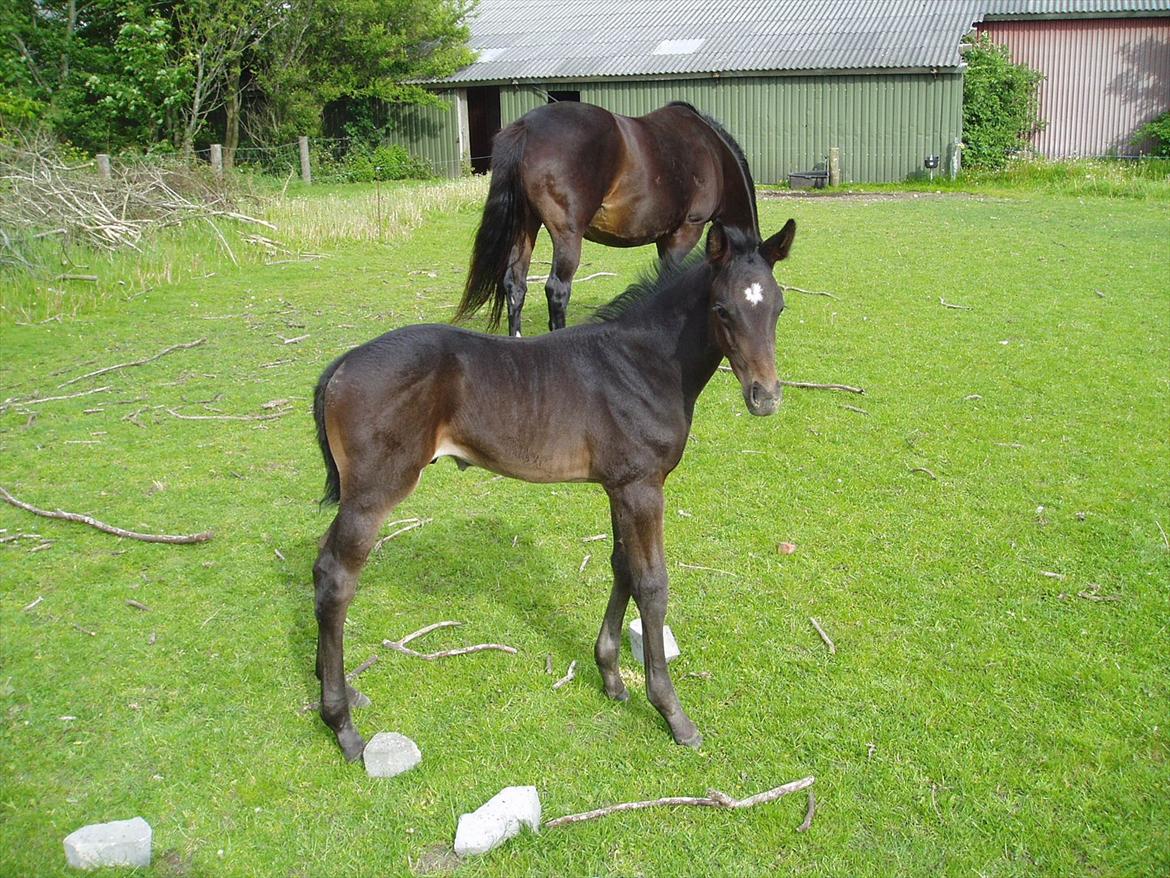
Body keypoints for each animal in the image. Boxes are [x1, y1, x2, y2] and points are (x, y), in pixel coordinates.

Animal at [311, 216, 795, 758]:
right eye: (722, 309)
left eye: (778, 306)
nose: (765, 396)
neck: (642, 364)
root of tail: (342, 365)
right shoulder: (642, 486)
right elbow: (652, 584)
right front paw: (674, 714)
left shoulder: (619, 486)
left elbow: (622, 565)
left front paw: (610, 676)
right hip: (376, 491)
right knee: (336, 578)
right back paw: (343, 725)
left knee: (321, 566)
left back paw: (338, 686)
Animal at [446, 101, 758, 339]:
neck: (713, 155)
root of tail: (527, 127)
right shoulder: (685, 231)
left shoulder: (665, 238)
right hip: (567, 234)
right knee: (557, 289)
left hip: (525, 226)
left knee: (515, 285)